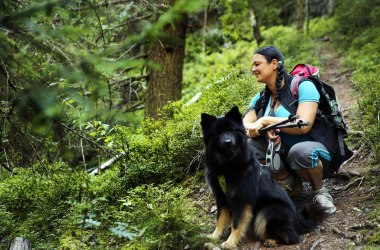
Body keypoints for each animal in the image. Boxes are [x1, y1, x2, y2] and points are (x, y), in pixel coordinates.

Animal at [200, 106, 326, 249]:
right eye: (218, 132)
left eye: (231, 130)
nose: (228, 142)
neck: (227, 167)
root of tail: (299, 222)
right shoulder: (221, 198)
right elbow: (220, 219)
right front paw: (214, 236)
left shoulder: (242, 200)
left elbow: (237, 223)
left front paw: (230, 242)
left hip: (268, 210)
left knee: (292, 237)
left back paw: (271, 240)